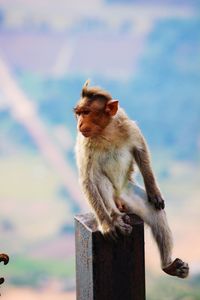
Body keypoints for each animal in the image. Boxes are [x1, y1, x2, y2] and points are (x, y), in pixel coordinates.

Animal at [73, 80, 189, 278]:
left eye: (86, 112)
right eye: (79, 113)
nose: (80, 123)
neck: (106, 130)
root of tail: (120, 201)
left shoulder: (127, 125)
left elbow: (141, 151)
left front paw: (154, 191)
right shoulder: (84, 141)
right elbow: (87, 179)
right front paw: (107, 224)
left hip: (128, 192)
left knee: (157, 215)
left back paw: (168, 266)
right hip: (113, 197)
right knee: (99, 180)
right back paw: (114, 217)